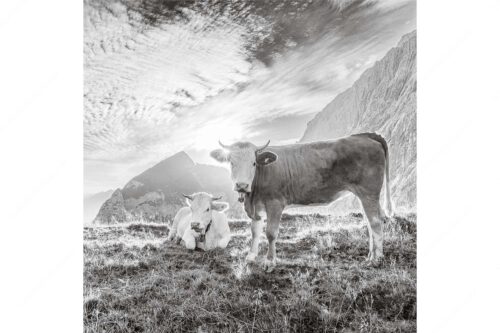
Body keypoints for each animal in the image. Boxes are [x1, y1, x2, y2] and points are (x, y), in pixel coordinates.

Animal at [209, 132, 392, 270]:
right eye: (231, 163)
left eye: (253, 163)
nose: (242, 185)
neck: (252, 195)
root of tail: (365, 136)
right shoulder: (256, 207)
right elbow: (254, 231)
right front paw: (251, 257)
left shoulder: (275, 203)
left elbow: (270, 233)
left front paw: (270, 261)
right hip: (365, 195)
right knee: (371, 221)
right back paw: (371, 255)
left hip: (369, 192)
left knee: (375, 222)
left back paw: (376, 258)